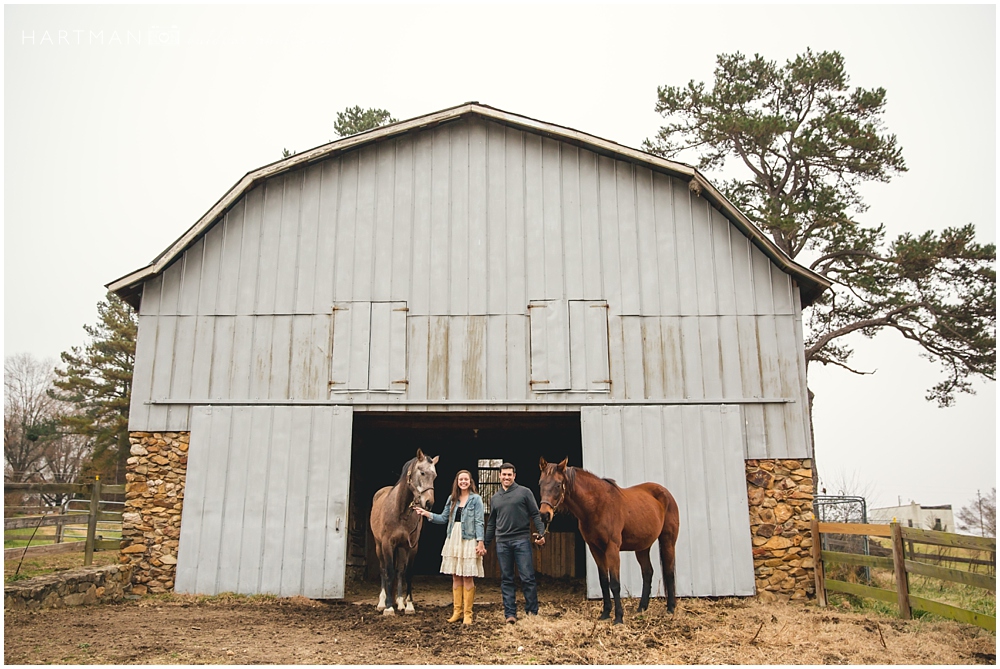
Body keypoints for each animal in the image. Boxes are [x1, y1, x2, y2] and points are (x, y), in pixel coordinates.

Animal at [368, 448, 438, 616]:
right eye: (422, 472)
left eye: (435, 476)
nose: (429, 503)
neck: (400, 511)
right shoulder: (387, 544)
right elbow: (388, 572)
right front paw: (388, 607)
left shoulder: (411, 546)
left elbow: (407, 573)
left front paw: (409, 605)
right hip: (379, 546)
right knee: (383, 570)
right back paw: (382, 602)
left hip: (400, 548)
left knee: (399, 571)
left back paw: (399, 603)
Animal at [540, 456, 680, 624]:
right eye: (540, 483)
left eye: (558, 484)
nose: (544, 515)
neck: (598, 506)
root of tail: (665, 493)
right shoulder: (595, 549)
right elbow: (603, 581)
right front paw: (605, 613)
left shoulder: (612, 548)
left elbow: (614, 583)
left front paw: (618, 617)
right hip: (642, 547)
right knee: (647, 572)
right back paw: (641, 608)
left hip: (668, 541)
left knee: (669, 572)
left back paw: (670, 609)